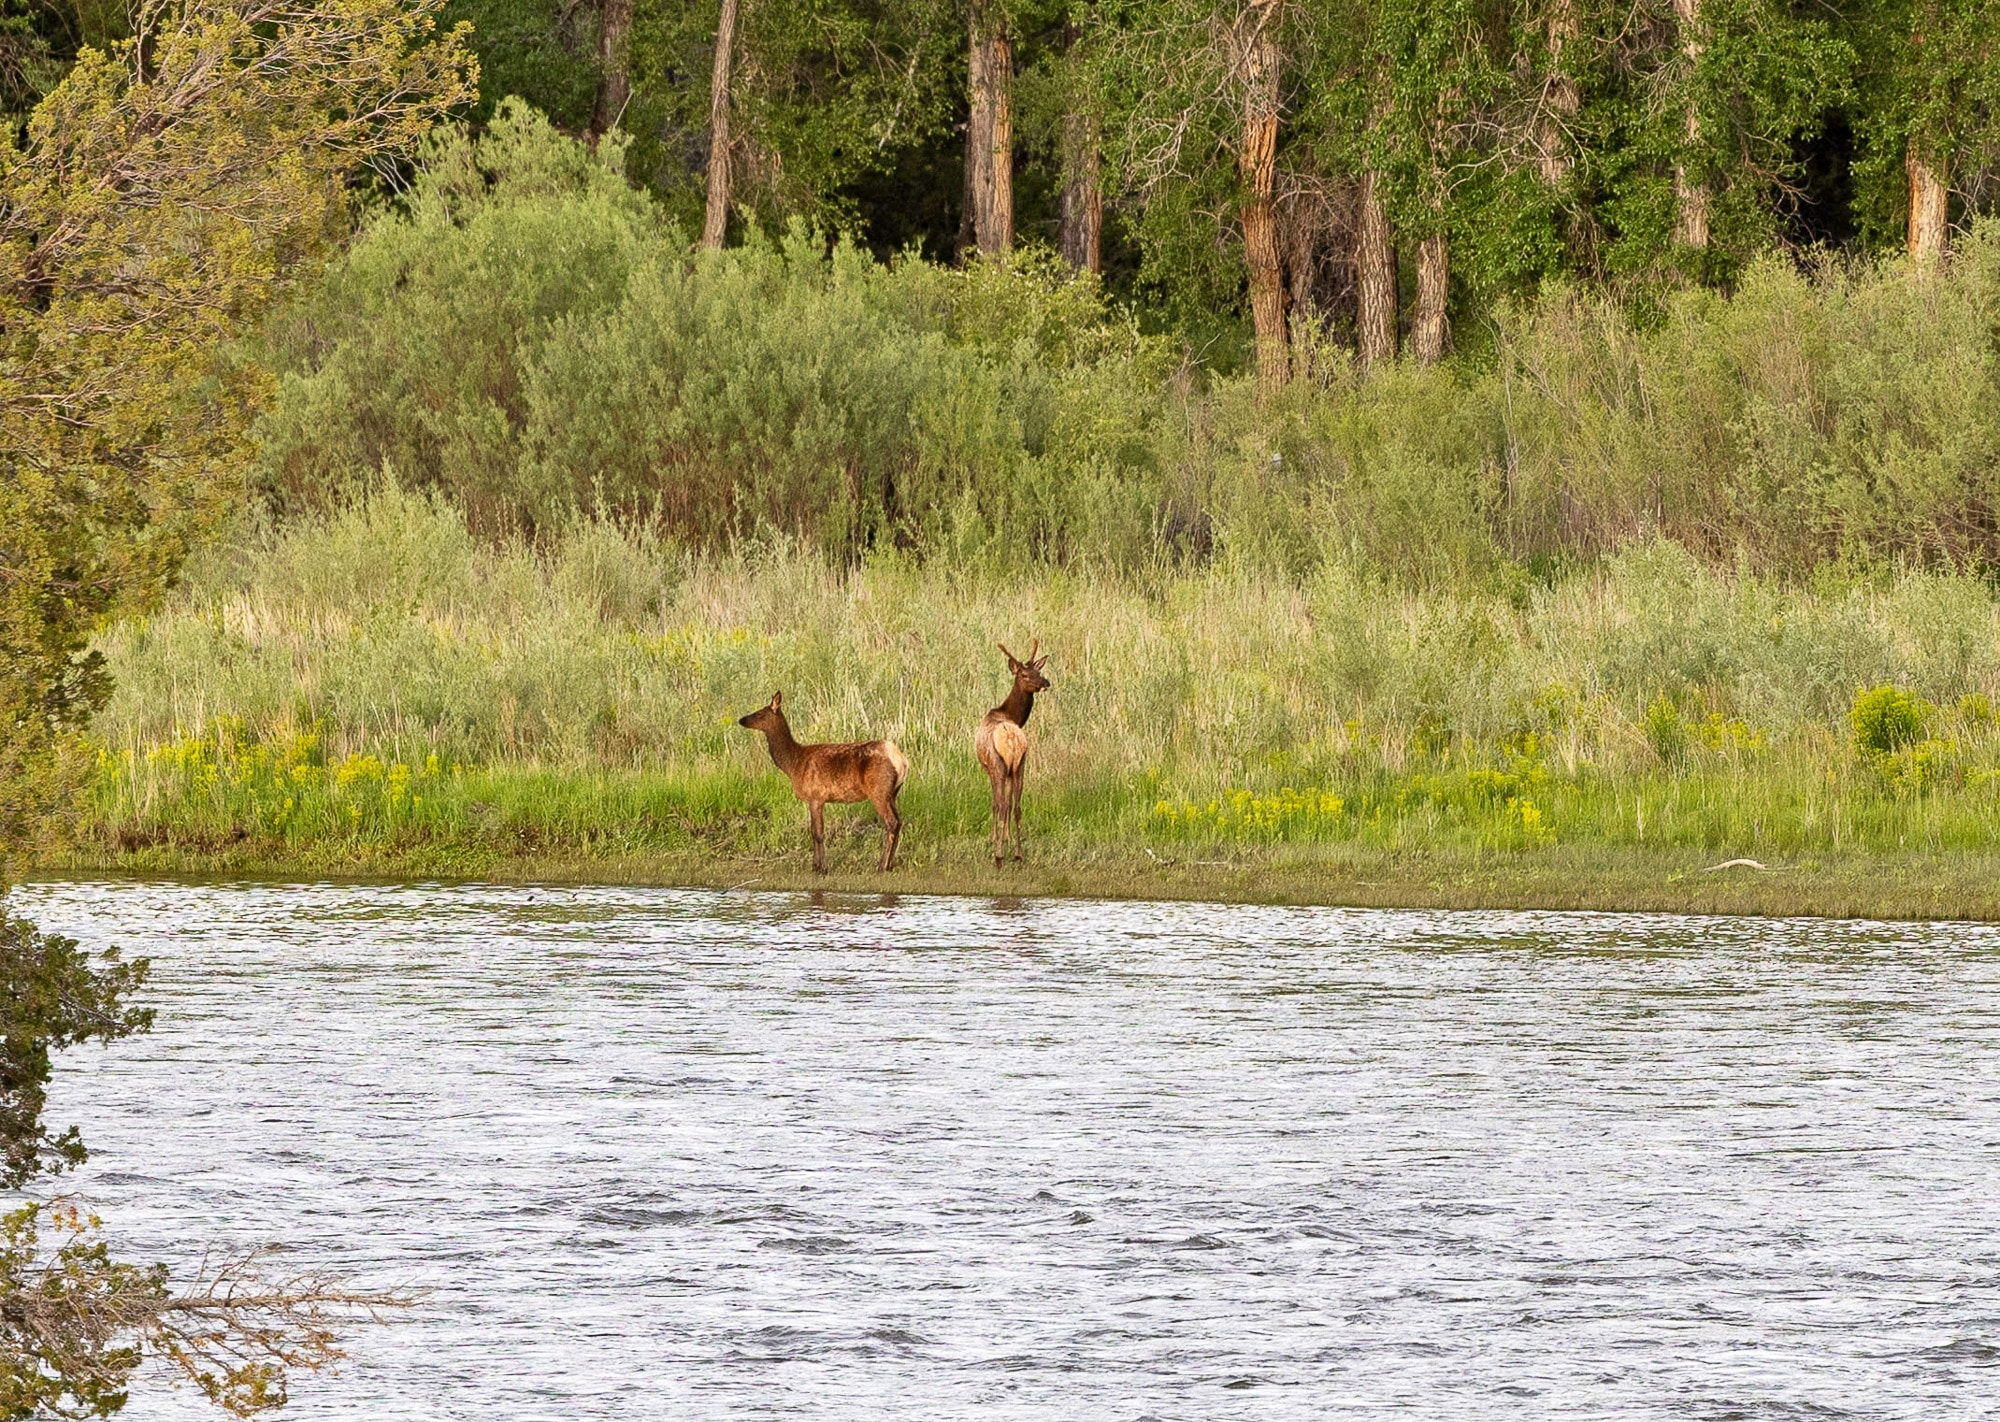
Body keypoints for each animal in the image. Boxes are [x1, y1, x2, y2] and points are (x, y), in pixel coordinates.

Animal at [737, 691, 909, 874]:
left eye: (759, 713)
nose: (741, 720)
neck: (793, 764)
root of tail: (902, 761)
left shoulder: (816, 796)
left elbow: (817, 833)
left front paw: (822, 868)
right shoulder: (817, 799)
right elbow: (814, 832)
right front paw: (815, 865)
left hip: (879, 790)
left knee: (891, 822)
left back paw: (881, 865)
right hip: (893, 793)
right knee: (899, 821)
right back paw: (889, 864)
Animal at [976, 640, 1050, 867]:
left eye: (1038, 671)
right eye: (1025, 674)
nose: (1046, 682)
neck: (1010, 715)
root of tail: (1012, 739)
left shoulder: (990, 768)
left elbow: (996, 804)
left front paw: (994, 838)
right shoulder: (1012, 769)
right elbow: (1009, 804)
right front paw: (1007, 837)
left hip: (998, 764)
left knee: (1000, 804)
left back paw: (999, 856)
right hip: (1021, 764)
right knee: (1017, 806)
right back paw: (1018, 853)